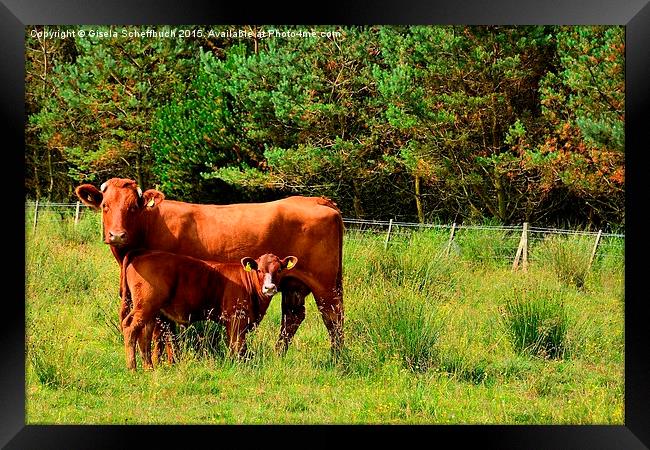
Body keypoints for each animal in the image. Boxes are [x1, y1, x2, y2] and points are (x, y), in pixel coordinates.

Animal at [76, 178, 344, 356]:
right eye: (105, 206)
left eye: (133, 207)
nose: (117, 235)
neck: (151, 223)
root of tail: (316, 200)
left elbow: (165, 331)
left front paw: (168, 362)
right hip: (293, 284)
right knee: (293, 317)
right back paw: (279, 355)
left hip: (325, 284)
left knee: (333, 316)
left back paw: (337, 359)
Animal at [120, 248, 298, 370]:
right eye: (259, 270)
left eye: (279, 269)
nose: (270, 288)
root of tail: (143, 254)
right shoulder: (236, 320)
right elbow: (237, 345)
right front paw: (236, 365)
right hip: (145, 305)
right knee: (130, 327)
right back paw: (132, 368)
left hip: (151, 310)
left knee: (144, 334)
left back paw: (149, 368)